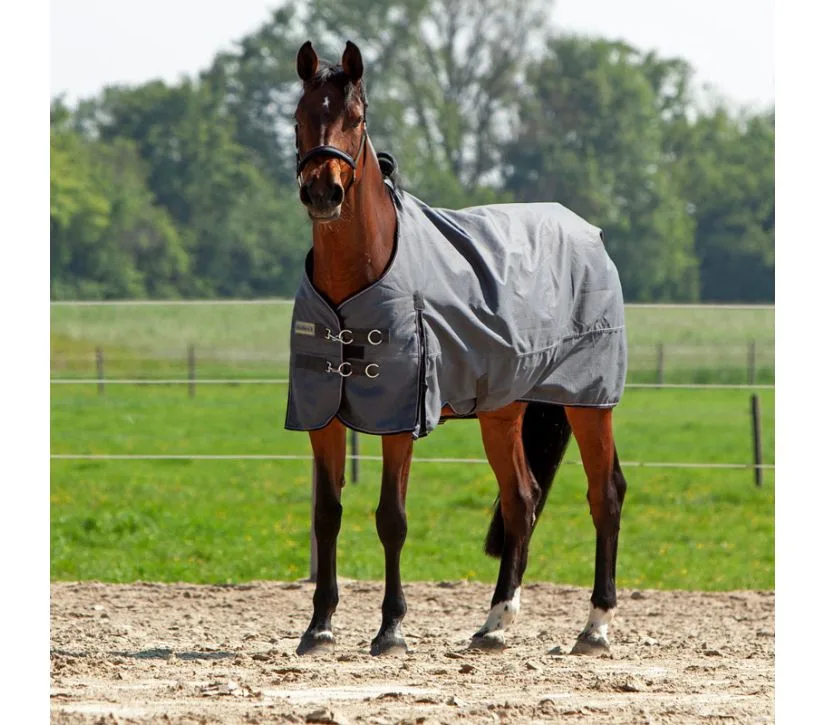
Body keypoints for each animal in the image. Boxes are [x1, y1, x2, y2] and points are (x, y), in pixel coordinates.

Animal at [287, 40, 628, 657]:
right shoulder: (322, 416)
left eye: (357, 117)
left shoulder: (399, 418)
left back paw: (594, 627)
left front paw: (391, 629)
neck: (360, 275)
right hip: (503, 411)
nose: (323, 192)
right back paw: (495, 622)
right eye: (300, 116)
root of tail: (587, 232)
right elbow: (327, 515)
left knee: (605, 495)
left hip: (589, 402)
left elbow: (391, 518)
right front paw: (319, 626)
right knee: (522, 499)